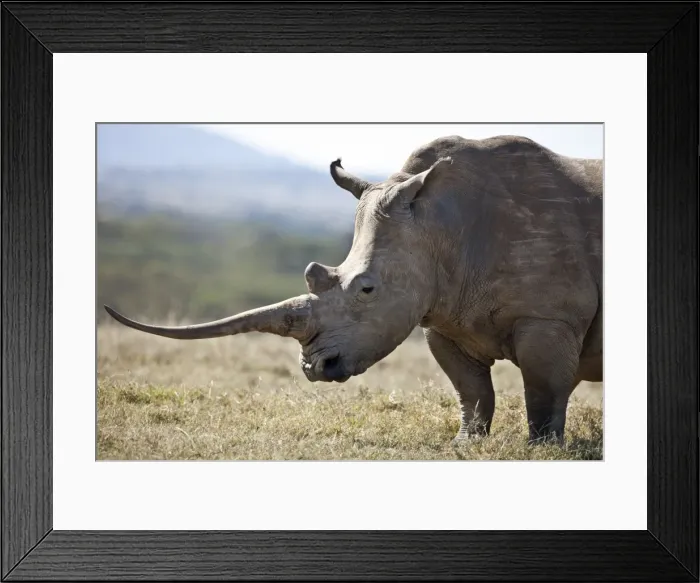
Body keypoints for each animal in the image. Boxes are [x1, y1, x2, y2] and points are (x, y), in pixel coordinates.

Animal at [104, 135, 603, 444]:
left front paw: (542, 450)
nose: (315, 368)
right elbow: (471, 389)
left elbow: (543, 389)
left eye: (367, 289)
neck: (442, 225)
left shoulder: (549, 317)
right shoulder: (443, 315)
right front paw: (465, 445)